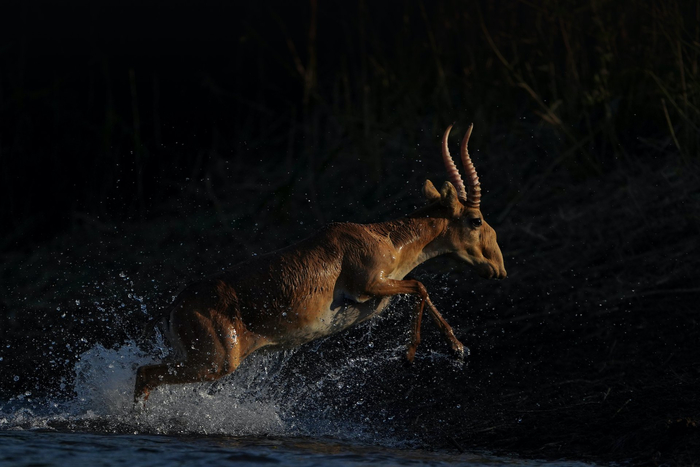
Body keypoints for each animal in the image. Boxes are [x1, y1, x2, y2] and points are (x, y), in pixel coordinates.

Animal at [134, 122, 506, 404]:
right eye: (475, 219)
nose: (498, 269)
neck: (384, 239)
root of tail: (175, 306)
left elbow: (420, 289)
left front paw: (455, 349)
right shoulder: (370, 285)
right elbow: (420, 286)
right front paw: (417, 354)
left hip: (194, 358)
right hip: (216, 362)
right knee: (144, 374)